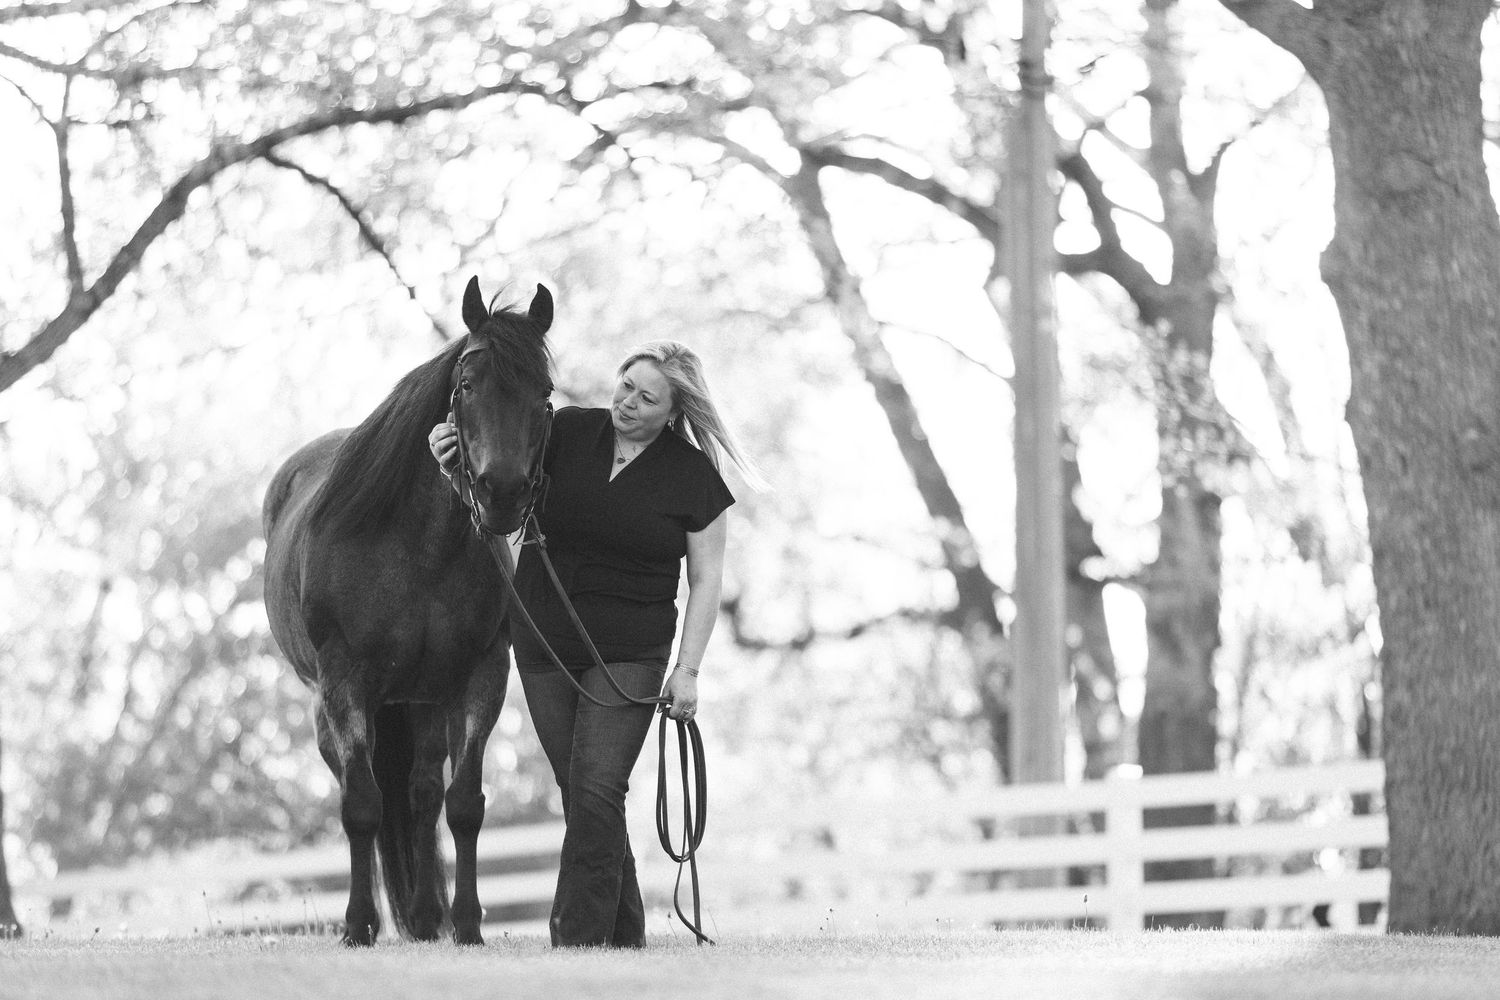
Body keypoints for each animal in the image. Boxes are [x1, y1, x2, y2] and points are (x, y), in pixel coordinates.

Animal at [261, 276, 553, 946]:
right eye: (467, 383)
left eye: (545, 393)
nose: (502, 492)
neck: (419, 547)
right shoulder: (345, 684)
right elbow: (362, 805)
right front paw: (358, 924)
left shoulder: (479, 677)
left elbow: (462, 804)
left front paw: (467, 923)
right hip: (333, 709)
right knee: (362, 791)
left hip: (421, 701)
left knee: (421, 794)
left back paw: (425, 917)